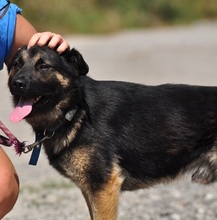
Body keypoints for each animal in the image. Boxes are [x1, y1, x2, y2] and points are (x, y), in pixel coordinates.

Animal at [7, 45, 217, 219]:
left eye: (44, 67)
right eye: (17, 64)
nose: (17, 83)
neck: (75, 112)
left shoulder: (103, 188)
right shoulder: (92, 190)